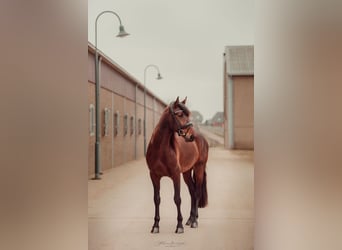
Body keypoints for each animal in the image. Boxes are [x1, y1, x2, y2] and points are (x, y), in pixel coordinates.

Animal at [145, 96, 208, 233]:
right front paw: (155, 226)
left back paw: (194, 222)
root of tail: (202, 138)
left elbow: (177, 199)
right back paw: (190, 219)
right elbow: (156, 199)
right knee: (192, 192)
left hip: (199, 168)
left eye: (188, 114)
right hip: (186, 173)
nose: (191, 136)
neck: (160, 149)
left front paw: (179, 226)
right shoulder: (154, 176)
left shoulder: (175, 175)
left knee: (197, 192)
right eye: (179, 114)